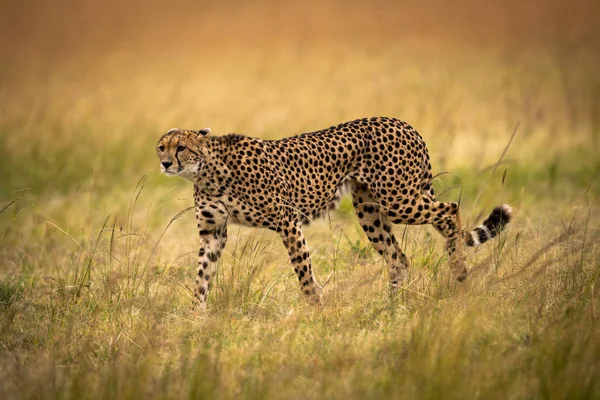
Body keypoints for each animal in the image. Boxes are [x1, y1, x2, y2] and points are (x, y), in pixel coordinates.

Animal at [158, 117, 510, 308]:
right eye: (162, 146)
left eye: (181, 148)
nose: (164, 163)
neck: (207, 171)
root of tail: (401, 122)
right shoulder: (213, 233)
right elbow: (202, 276)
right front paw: (196, 318)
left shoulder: (287, 221)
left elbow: (304, 274)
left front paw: (317, 312)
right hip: (369, 210)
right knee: (398, 257)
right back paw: (391, 306)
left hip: (398, 200)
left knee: (449, 210)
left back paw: (459, 271)